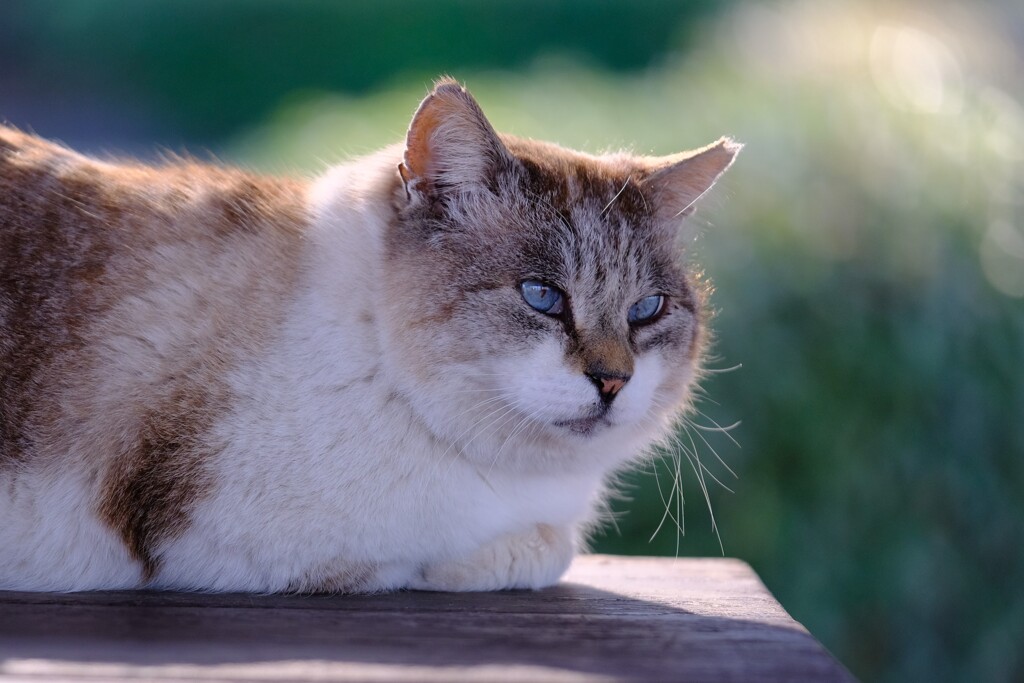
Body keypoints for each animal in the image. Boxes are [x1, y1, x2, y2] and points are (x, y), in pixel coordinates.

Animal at [0, 78, 737, 593]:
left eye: (647, 310)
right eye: (543, 296)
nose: (613, 382)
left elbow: (555, 546)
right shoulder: (224, 534)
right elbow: (540, 551)